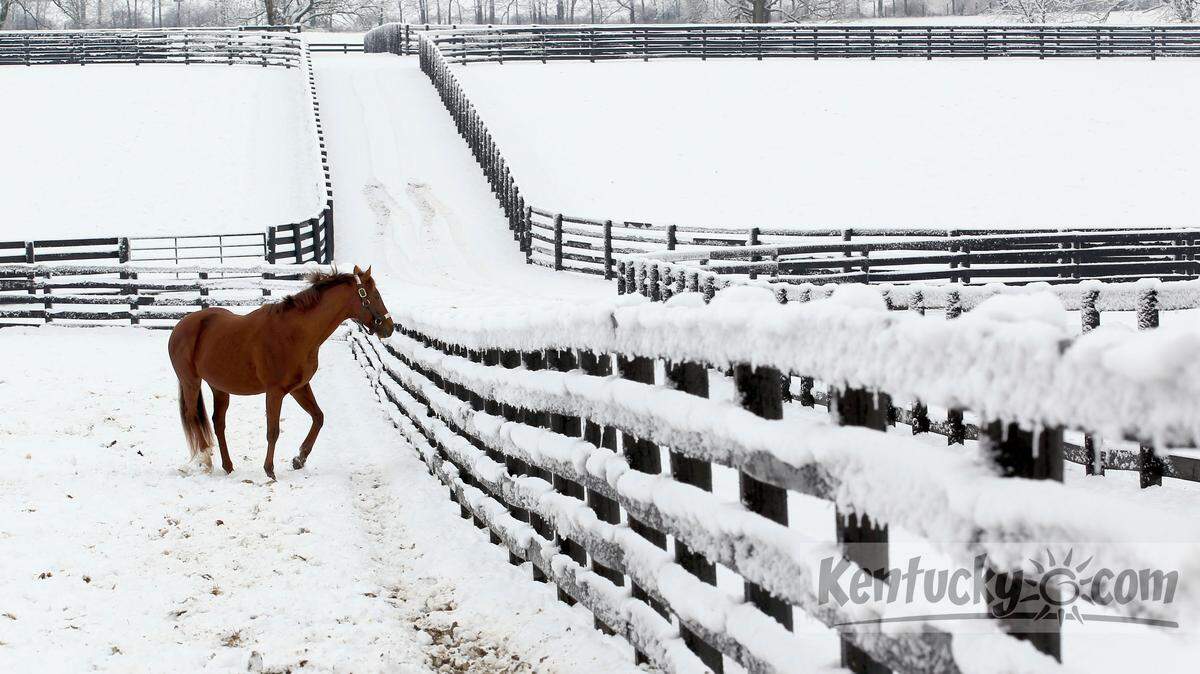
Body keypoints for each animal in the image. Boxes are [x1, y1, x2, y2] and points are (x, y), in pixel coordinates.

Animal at [168, 265, 394, 480]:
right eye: (375, 295)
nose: (389, 328)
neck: (294, 332)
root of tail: (180, 326)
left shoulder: (299, 388)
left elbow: (318, 417)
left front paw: (299, 459)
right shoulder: (275, 392)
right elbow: (273, 431)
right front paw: (270, 470)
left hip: (219, 388)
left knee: (218, 423)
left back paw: (228, 466)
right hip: (191, 382)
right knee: (192, 417)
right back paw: (205, 460)